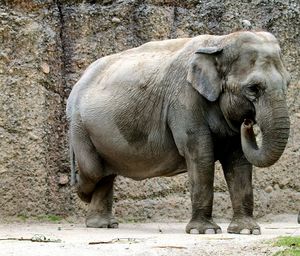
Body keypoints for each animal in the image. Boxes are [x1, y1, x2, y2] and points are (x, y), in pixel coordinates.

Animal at [67, 31, 290, 235]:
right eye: (253, 88)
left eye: (287, 84)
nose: (248, 123)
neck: (220, 41)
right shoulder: (184, 100)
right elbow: (200, 154)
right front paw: (205, 231)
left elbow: (238, 159)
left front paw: (246, 231)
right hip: (80, 127)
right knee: (94, 170)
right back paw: (82, 194)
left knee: (105, 173)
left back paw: (102, 225)